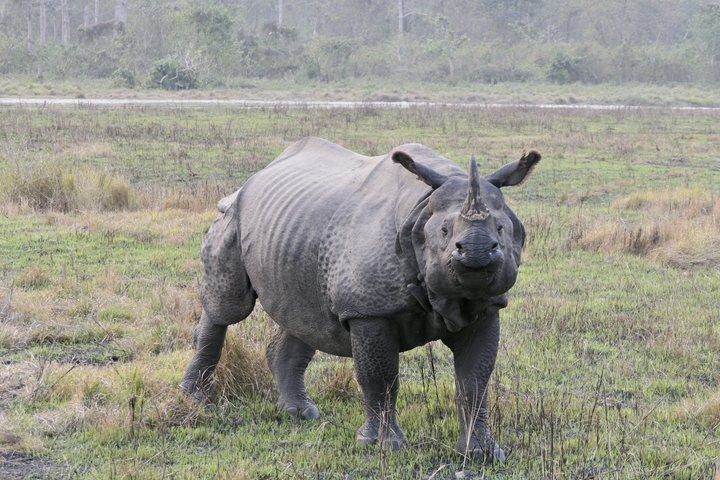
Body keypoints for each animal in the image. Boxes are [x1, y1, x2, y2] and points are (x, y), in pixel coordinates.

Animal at [180, 137, 540, 461]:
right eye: (444, 231)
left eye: (501, 229)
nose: (477, 254)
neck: (421, 212)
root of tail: (257, 175)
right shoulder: (368, 311)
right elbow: (380, 378)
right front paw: (384, 446)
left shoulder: (486, 307)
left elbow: (474, 382)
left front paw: (484, 454)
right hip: (233, 215)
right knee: (228, 309)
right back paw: (194, 398)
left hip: (292, 231)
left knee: (303, 320)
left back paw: (299, 413)